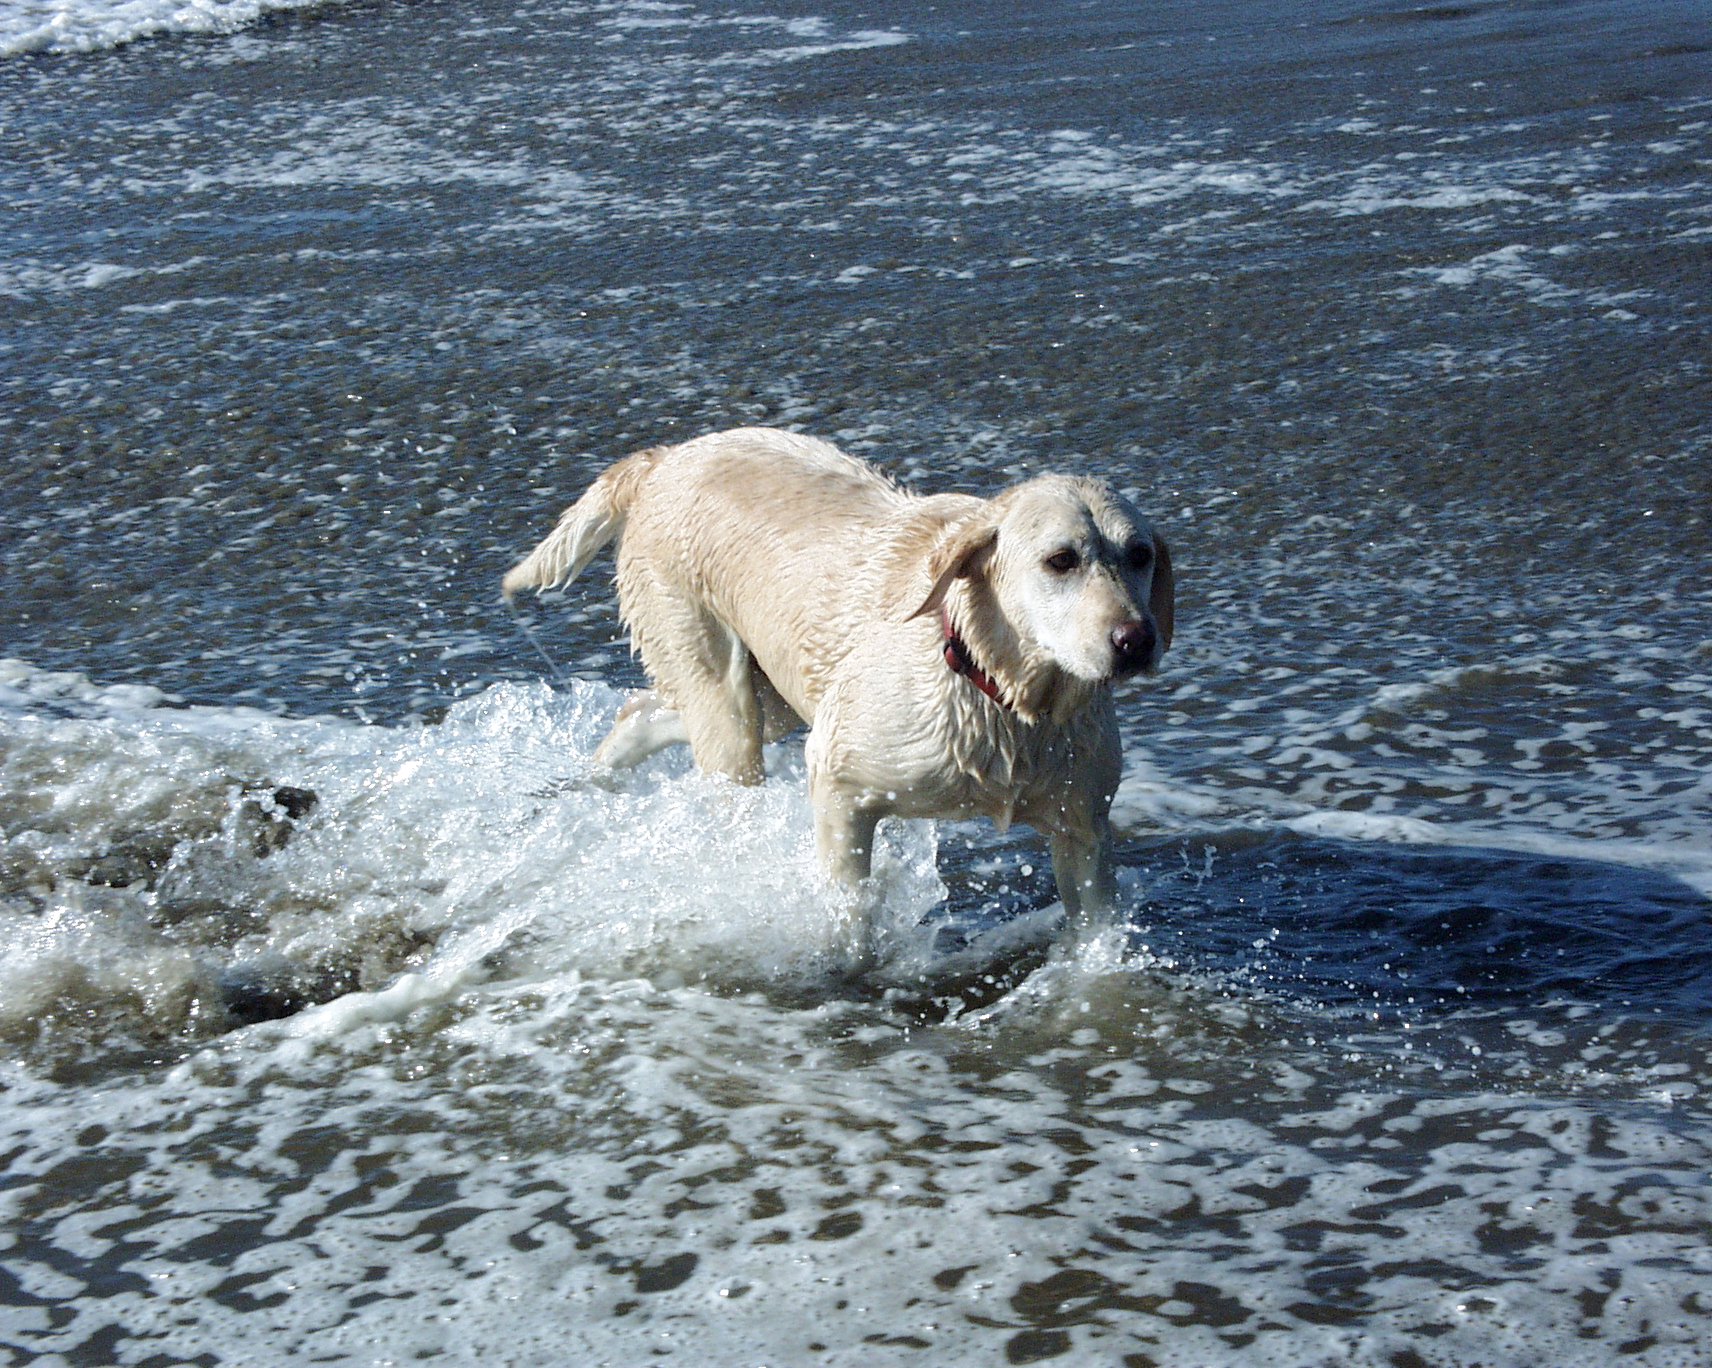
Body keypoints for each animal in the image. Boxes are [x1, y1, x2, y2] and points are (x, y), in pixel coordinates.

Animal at [503, 427, 1173, 935]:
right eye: (1061, 560)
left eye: (1140, 555)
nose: (1136, 640)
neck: (999, 690)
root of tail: (663, 459)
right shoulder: (841, 783)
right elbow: (850, 908)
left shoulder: (1083, 830)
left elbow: (1096, 934)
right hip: (724, 691)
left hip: (775, 693)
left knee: (643, 712)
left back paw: (596, 777)